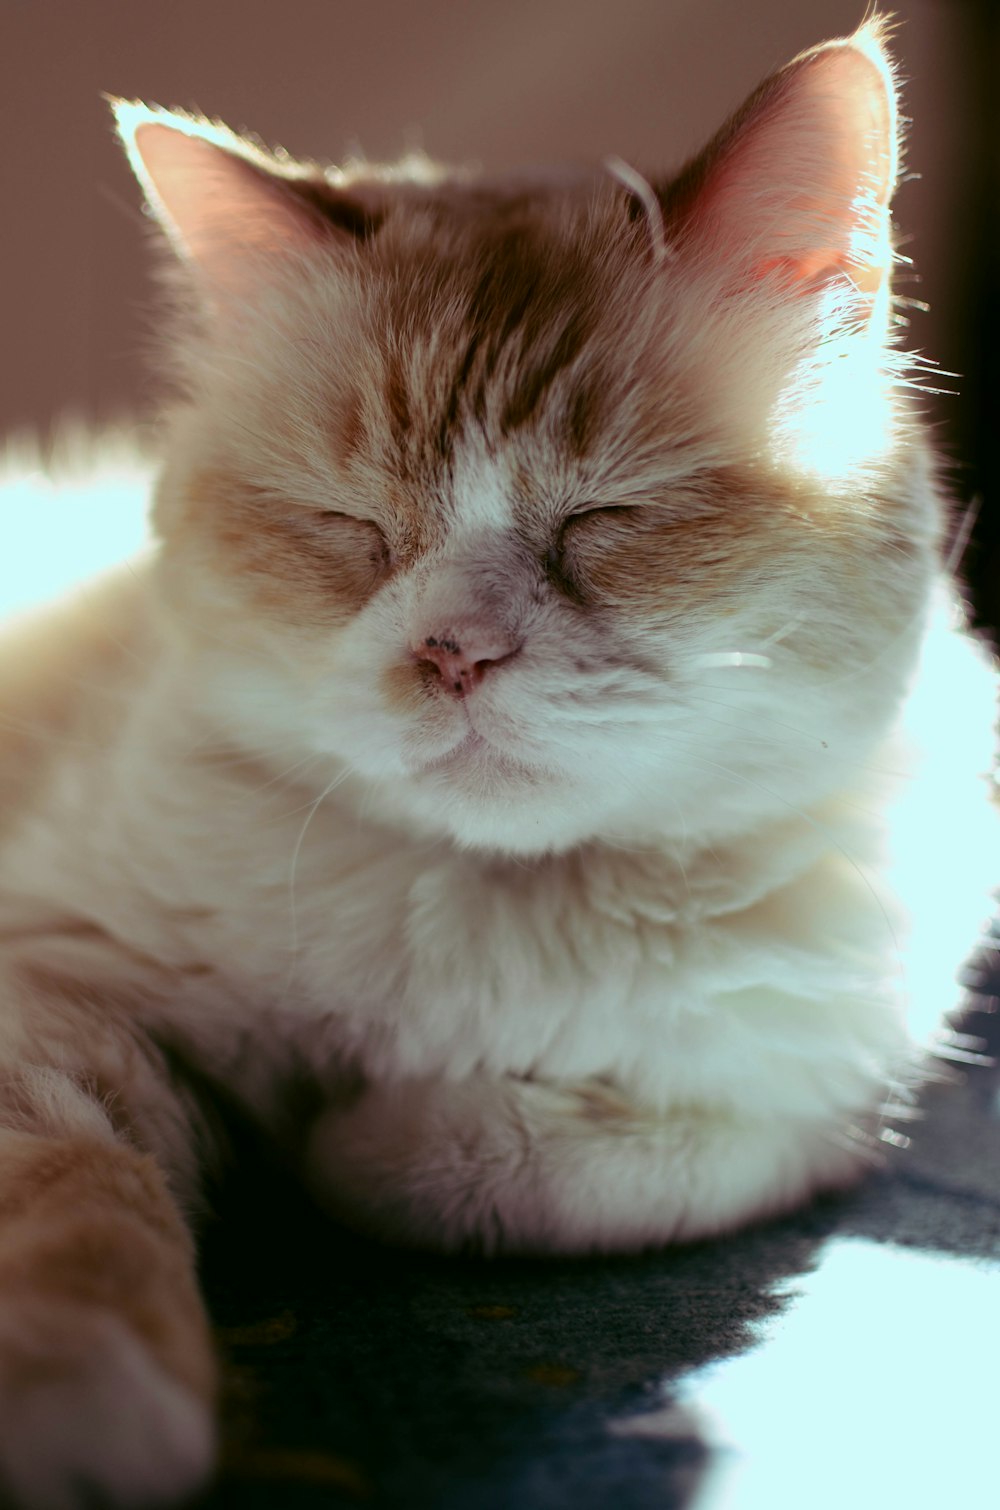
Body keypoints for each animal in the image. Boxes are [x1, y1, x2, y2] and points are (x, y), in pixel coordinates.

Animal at [0, 14, 996, 1510]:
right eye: (349, 526)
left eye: (607, 516)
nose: (452, 654)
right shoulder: (51, 985)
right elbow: (82, 1207)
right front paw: (85, 1409)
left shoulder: (802, 1103)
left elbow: (505, 1165)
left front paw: (340, 1142)